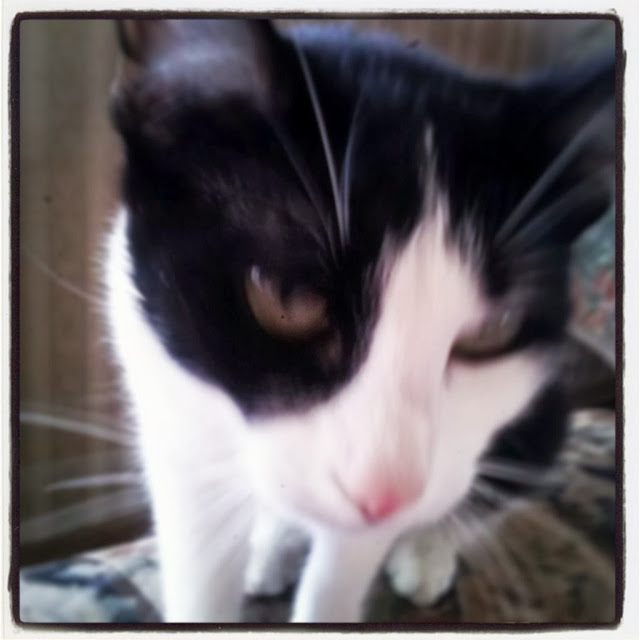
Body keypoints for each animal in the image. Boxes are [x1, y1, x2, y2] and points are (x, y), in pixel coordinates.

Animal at [105, 19, 615, 622]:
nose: (386, 495)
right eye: (288, 298)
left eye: (495, 329)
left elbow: (339, 574)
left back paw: (425, 551)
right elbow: (199, 554)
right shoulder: (169, 408)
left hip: (537, 423)